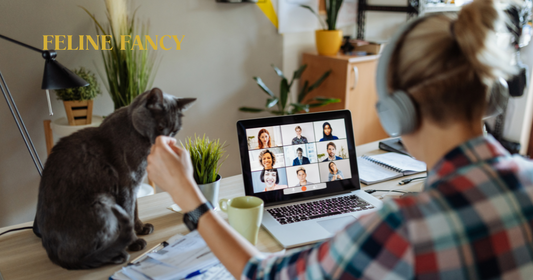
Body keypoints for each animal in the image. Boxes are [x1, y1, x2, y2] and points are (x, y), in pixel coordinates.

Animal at [36, 87, 196, 270]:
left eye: (174, 131)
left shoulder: (135, 184)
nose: (166, 139)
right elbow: (128, 211)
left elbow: (135, 209)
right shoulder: (126, 185)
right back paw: (117, 253)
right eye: (161, 126)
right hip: (103, 203)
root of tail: (54, 256)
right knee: (84, 256)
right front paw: (134, 242)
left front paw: (141, 227)